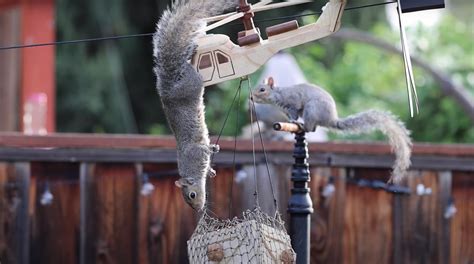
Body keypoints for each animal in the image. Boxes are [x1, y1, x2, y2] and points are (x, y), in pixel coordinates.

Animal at [155, 0, 239, 210]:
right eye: (188, 199)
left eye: (191, 195)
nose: (199, 209)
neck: (191, 167)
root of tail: (169, 87)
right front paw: (211, 171)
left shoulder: (197, 153)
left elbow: (204, 150)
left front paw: (212, 151)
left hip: (192, 82)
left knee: (192, 72)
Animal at [252, 76, 412, 184]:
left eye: (262, 89)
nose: (251, 97)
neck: (278, 96)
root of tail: (330, 119)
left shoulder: (293, 102)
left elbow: (294, 113)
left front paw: (293, 122)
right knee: (314, 128)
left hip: (311, 109)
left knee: (311, 127)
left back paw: (303, 126)